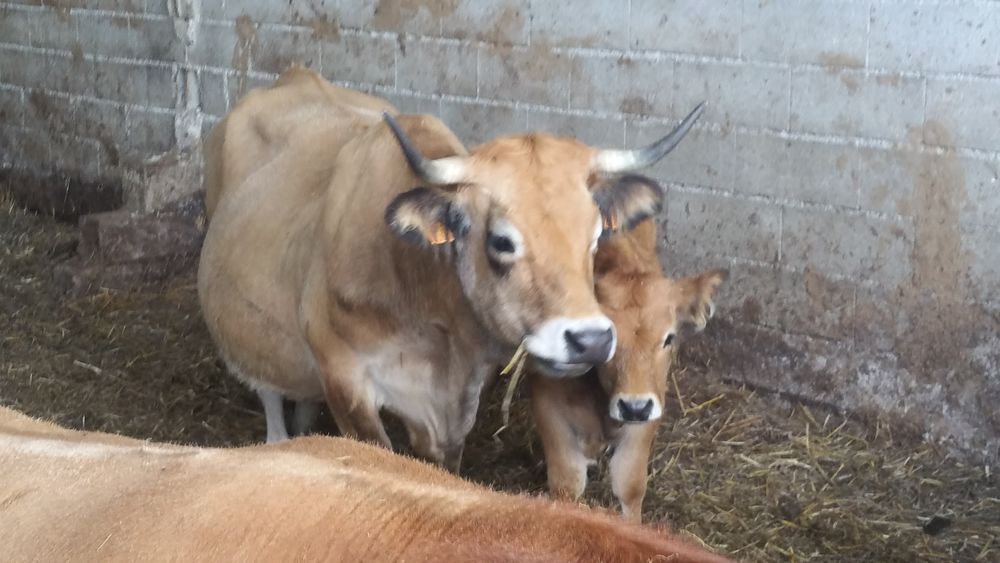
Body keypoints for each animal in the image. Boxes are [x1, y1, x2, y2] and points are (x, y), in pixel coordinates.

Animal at [197, 67, 704, 472]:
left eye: (596, 237)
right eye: (501, 241)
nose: (591, 339)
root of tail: (295, 75)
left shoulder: (455, 402)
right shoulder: (345, 380)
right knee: (267, 388)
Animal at [532, 214, 728, 524]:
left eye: (669, 338)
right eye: (609, 337)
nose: (634, 407)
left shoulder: (651, 405)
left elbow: (630, 485)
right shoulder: (546, 402)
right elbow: (566, 483)